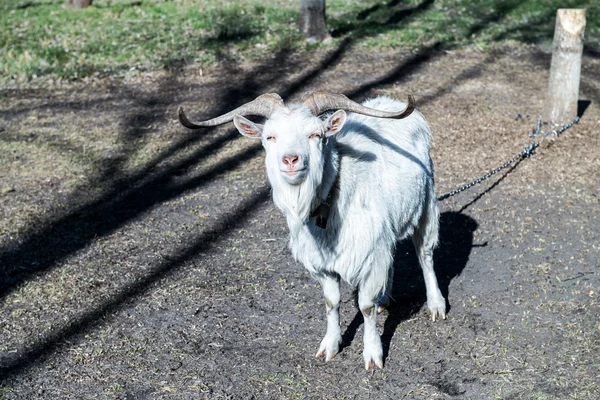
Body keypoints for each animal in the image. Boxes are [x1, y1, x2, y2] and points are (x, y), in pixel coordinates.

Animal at [178, 90, 446, 368]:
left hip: (427, 204)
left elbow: (365, 306)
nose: (290, 160)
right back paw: (385, 299)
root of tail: (391, 102)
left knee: (424, 254)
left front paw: (373, 355)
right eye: (269, 137)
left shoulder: (369, 254)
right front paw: (330, 345)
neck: (333, 195)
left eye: (315, 135)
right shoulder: (325, 262)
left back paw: (436, 305)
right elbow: (331, 302)